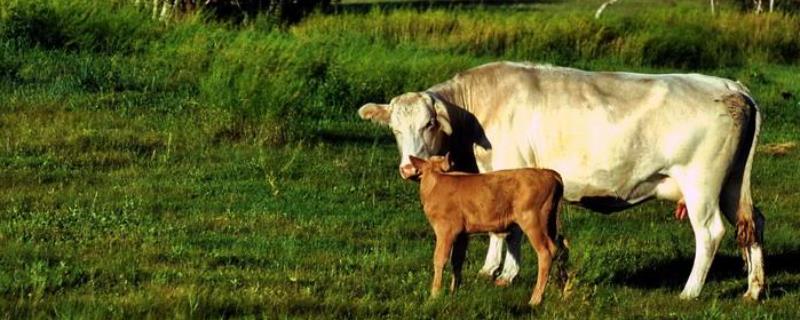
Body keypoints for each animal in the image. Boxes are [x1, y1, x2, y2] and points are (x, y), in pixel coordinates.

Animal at [410, 155, 564, 308]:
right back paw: (561, 292)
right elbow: (457, 260)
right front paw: (454, 291)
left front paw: (434, 295)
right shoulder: (462, 234)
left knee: (545, 252)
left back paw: (535, 300)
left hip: (533, 221)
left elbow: (439, 259)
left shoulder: (445, 230)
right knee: (560, 248)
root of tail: (548, 173)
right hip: (550, 224)